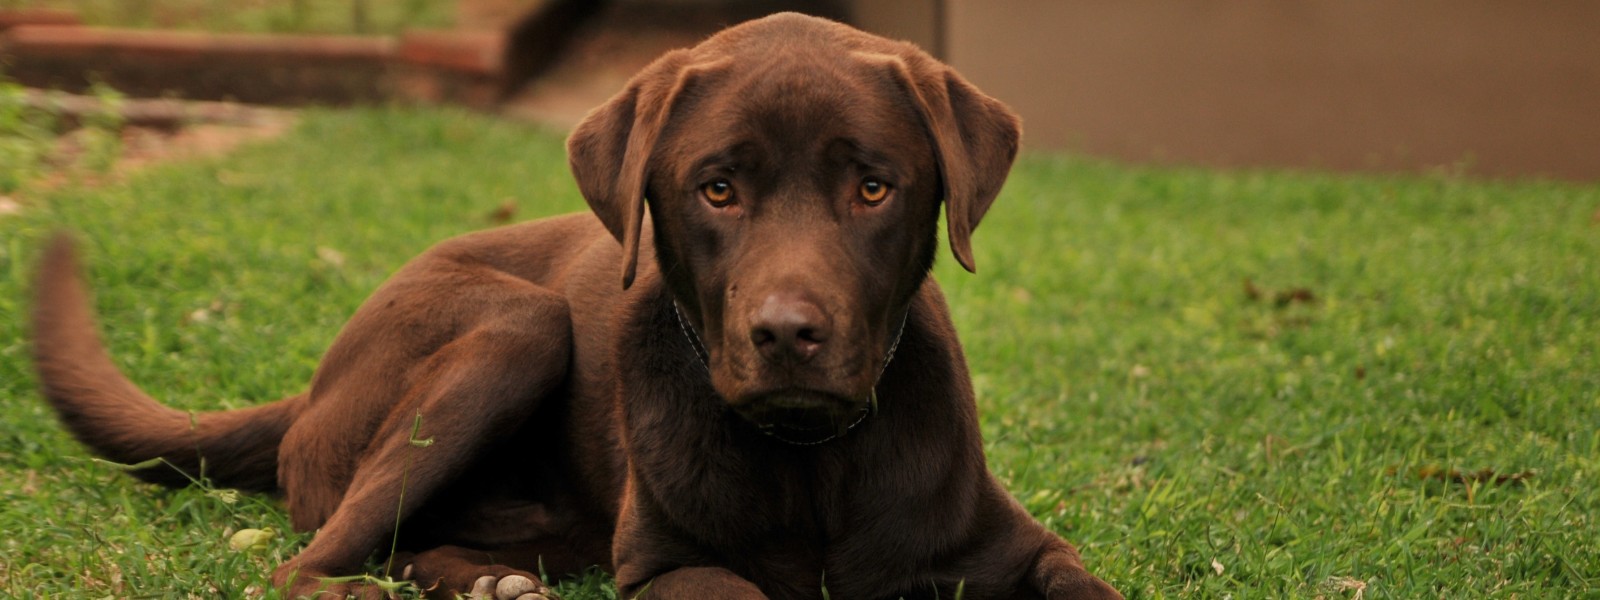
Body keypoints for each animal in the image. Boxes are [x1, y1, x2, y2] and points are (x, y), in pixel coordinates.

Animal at [28, 14, 1126, 600]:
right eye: (716, 190)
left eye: (872, 188)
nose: (785, 334)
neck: (812, 463)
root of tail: (309, 390)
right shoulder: (664, 569)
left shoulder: (1015, 549)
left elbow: (1083, 581)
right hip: (515, 329)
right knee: (308, 564)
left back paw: (490, 583)